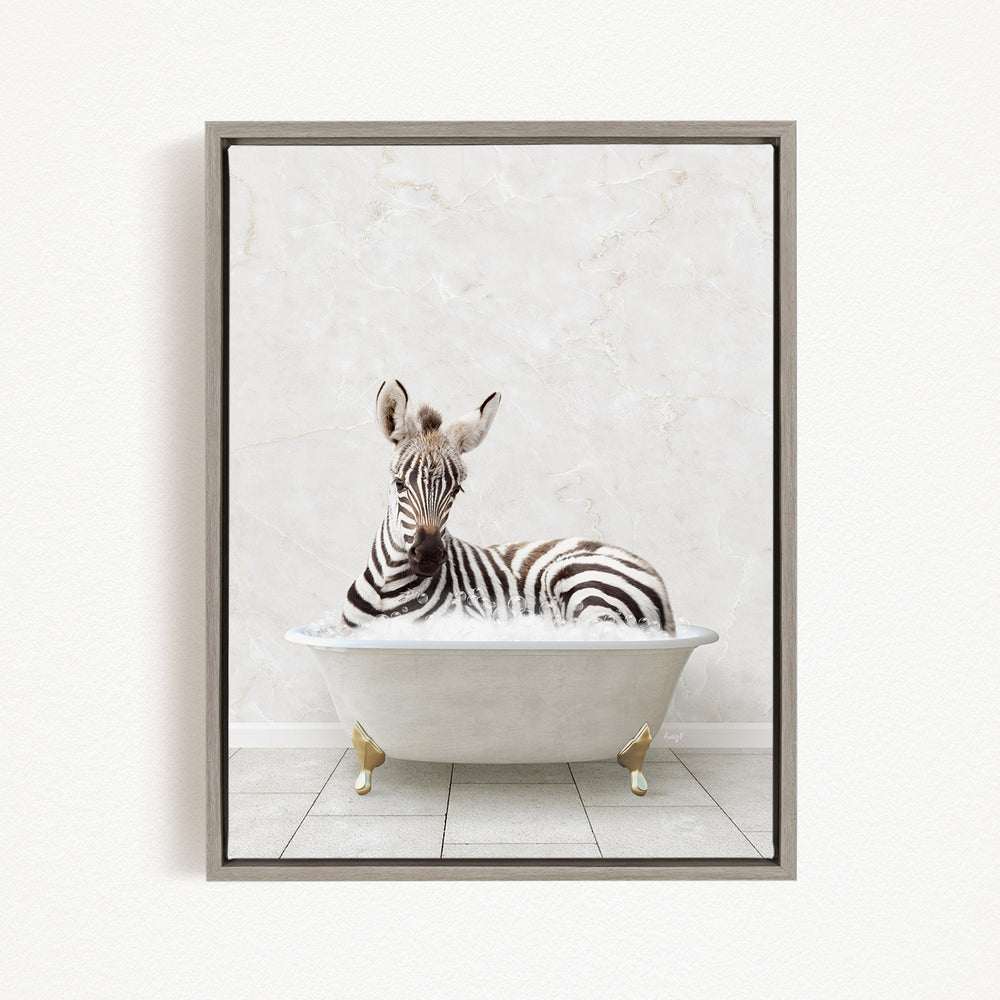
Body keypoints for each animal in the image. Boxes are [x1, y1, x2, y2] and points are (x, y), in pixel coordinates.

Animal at [341, 379, 676, 634]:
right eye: (399, 484)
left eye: (457, 490)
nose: (429, 555)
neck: (387, 588)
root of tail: (657, 581)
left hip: (582, 584)